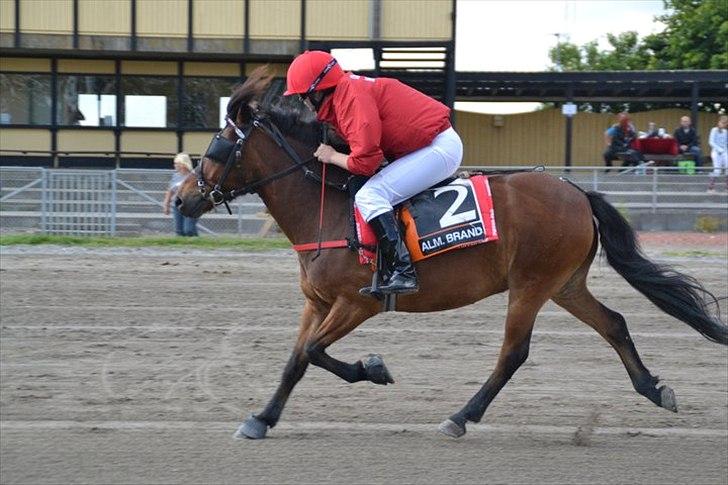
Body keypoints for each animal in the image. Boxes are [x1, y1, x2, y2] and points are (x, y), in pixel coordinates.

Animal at [173, 68, 724, 438]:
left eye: (215, 151)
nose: (181, 200)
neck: (327, 205)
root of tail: (576, 191)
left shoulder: (357, 302)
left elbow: (313, 352)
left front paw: (374, 368)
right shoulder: (318, 302)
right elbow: (295, 360)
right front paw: (261, 418)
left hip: (530, 286)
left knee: (514, 353)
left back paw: (461, 416)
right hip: (564, 284)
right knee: (613, 324)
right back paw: (653, 388)